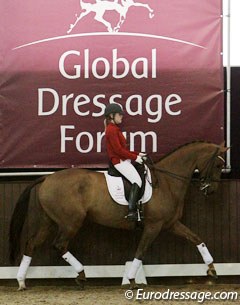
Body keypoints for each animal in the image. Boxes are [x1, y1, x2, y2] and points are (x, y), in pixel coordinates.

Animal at [8, 141, 227, 290]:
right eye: (217, 165)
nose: (211, 190)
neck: (166, 181)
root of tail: (47, 178)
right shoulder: (153, 226)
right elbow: (140, 251)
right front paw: (131, 279)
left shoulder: (171, 223)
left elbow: (197, 238)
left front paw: (212, 269)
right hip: (70, 222)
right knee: (59, 244)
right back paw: (81, 274)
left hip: (49, 221)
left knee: (31, 245)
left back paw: (21, 281)